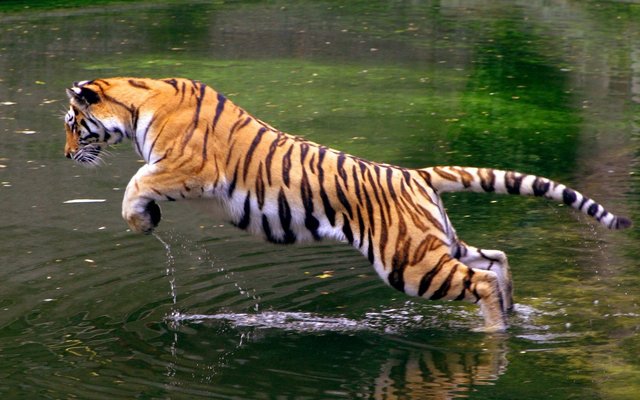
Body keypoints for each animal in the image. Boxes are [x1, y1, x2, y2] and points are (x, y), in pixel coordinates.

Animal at [62, 77, 632, 332]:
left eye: (71, 124)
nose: (66, 155)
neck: (138, 100)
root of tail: (415, 174)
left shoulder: (185, 167)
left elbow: (134, 184)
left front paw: (142, 220)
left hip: (409, 262)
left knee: (481, 280)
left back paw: (494, 329)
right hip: (434, 242)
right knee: (496, 259)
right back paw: (513, 314)